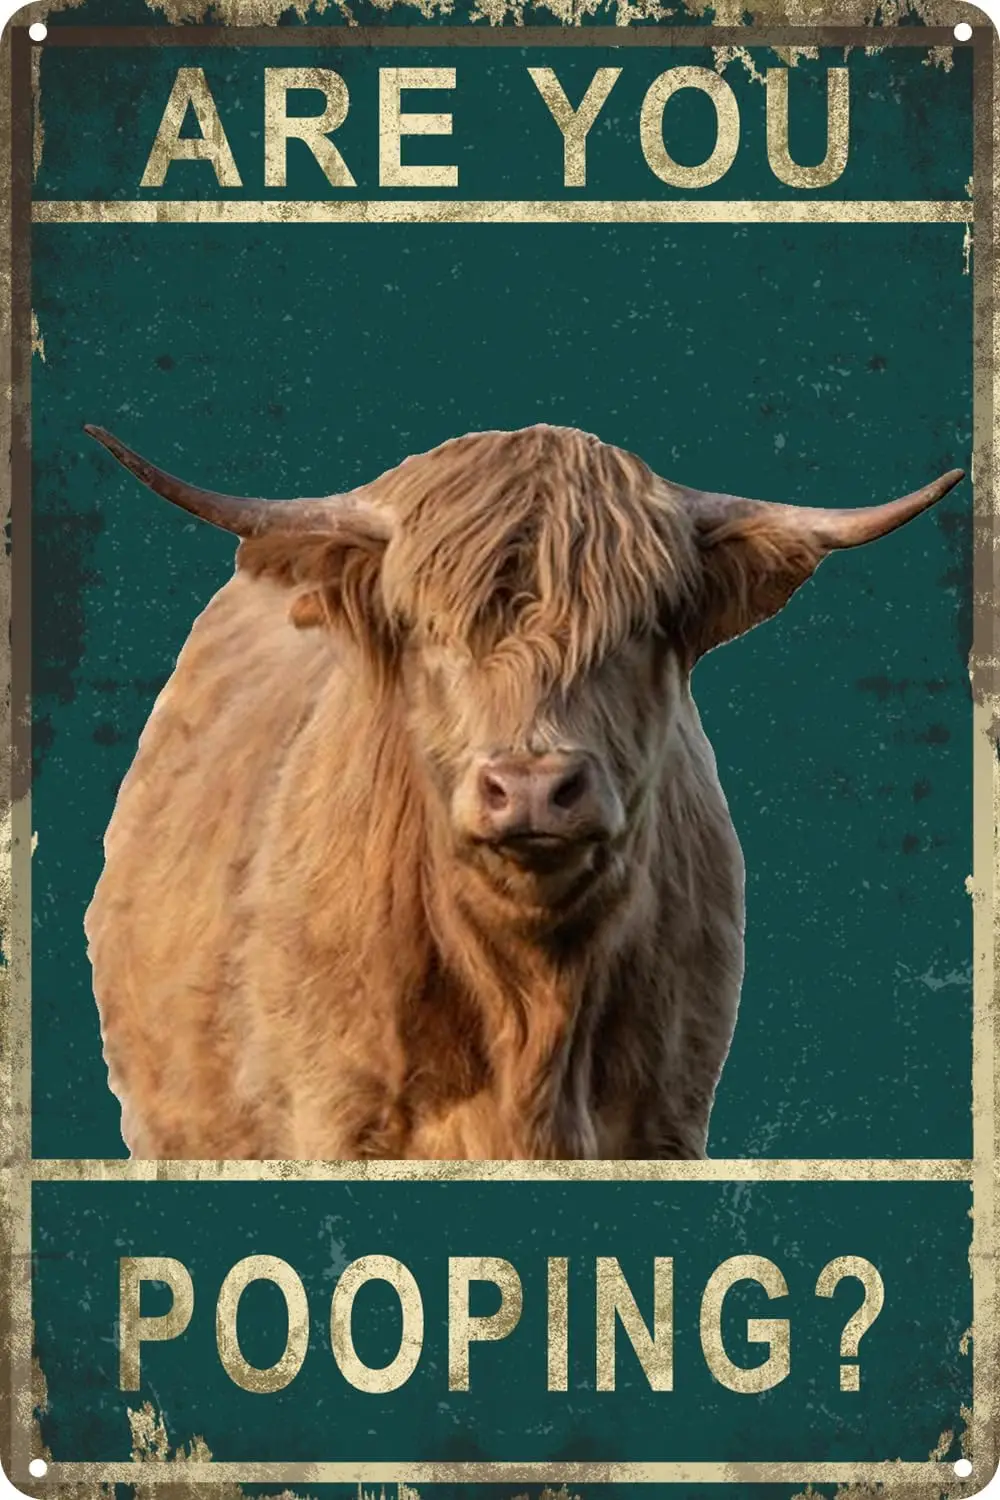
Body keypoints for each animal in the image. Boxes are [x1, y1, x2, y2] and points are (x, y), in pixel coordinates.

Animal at [82, 422, 962, 1161]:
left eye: (641, 628)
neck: (533, 1005)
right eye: (426, 630)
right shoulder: (330, 1116)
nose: (534, 787)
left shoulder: (668, 1120)